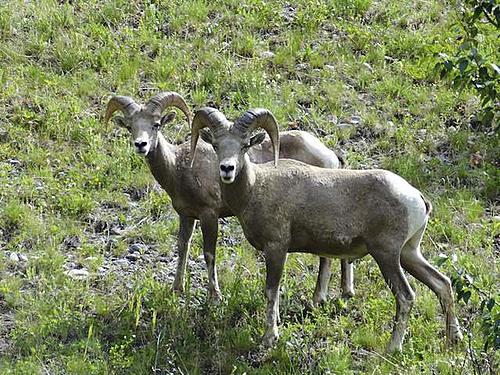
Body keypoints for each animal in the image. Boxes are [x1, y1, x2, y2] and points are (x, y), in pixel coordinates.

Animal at [105, 93, 356, 302]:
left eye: (156, 125)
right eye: (130, 126)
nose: (141, 145)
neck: (179, 167)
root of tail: (331, 156)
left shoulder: (209, 215)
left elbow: (209, 254)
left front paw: (215, 297)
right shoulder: (187, 216)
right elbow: (183, 247)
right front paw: (176, 289)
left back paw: (321, 298)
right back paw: (346, 292)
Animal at [189, 106, 462, 352]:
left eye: (245, 145)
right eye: (216, 145)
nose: (227, 169)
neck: (256, 188)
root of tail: (416, 197)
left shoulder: (276, 248)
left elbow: (271, 292)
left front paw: (269, 338)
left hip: (387, 255)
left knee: (406, 297)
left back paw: (393, 348)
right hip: (409, 254)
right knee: (442, 284)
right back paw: (454, 338)